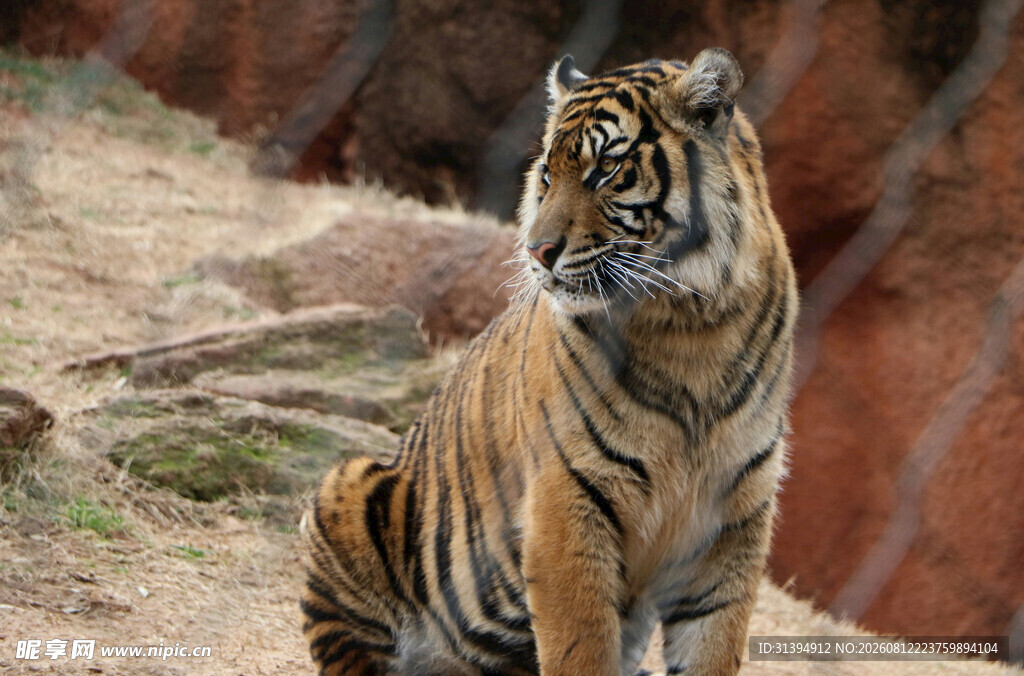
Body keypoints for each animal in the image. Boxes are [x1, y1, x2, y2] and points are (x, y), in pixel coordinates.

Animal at [301, 47, 797, 676]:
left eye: (605, 169)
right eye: (545, 175)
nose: (537, 251)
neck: (690, 325)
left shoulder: (733, 520)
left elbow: (712, 648)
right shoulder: (568, 498)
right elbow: (581, 648)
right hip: (345, 487)